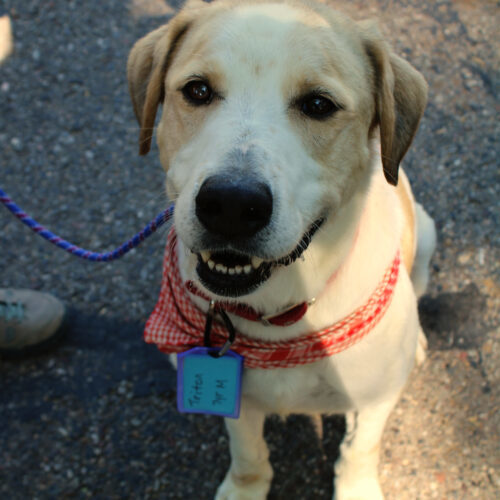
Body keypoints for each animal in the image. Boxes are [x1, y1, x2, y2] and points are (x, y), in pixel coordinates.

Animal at [127, 1, 436, 498]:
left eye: (318, 104)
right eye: (197, 90)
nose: (231, 205)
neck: (283, 318)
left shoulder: (375, 399)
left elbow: (360, 448)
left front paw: (357, 486)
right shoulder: (239, 397)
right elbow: (249, 452)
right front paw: (245, 488)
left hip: (426, 233)